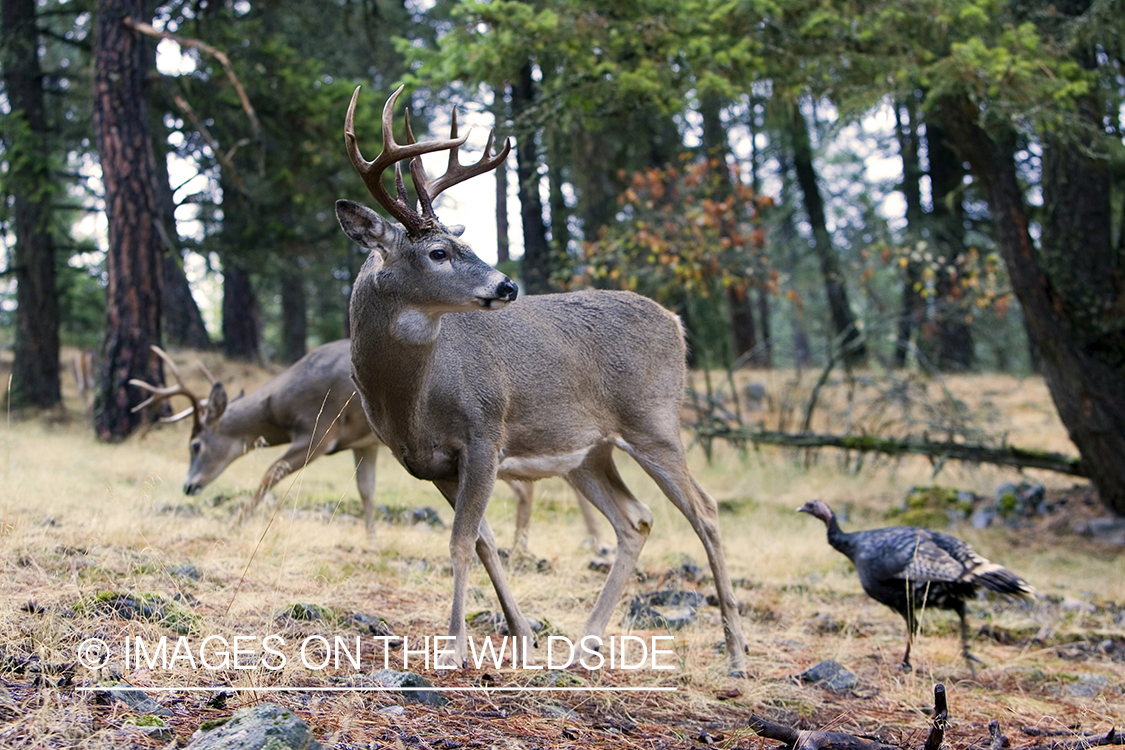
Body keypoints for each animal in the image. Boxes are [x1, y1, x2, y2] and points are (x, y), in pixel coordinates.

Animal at [337, 88, 751, 674]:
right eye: (439, 253)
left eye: (461, 246)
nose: (507, 285)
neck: (412, 398)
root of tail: (675, 322)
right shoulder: (430, 463)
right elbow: (484, 542)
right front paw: (522, 634)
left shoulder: (485, 432)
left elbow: (461, 542)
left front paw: (456, 647)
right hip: (588, 452)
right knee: (636, 519)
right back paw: (584, 644)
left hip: (654, 422)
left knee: (706, 512)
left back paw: (736, 652)